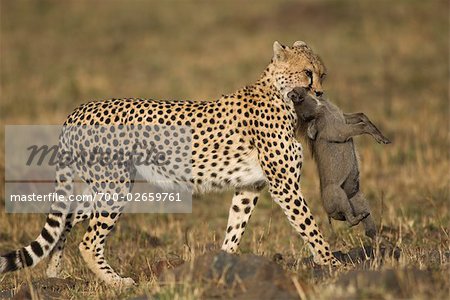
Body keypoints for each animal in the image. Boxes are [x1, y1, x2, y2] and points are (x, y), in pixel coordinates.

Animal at [0, 40, 338, 286]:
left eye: (323, 74)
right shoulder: (284, 186)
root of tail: (81, 108)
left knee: (67, 217)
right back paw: (117, 283)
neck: (282, 96)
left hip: (103, 186)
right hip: (115, 187)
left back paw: (54, 275)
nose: (321, 92)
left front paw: (221, 267)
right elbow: (310, 227)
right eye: (307, 73)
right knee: (89, 241)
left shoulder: (249, 187)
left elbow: (235, 229)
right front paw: (334, 266)